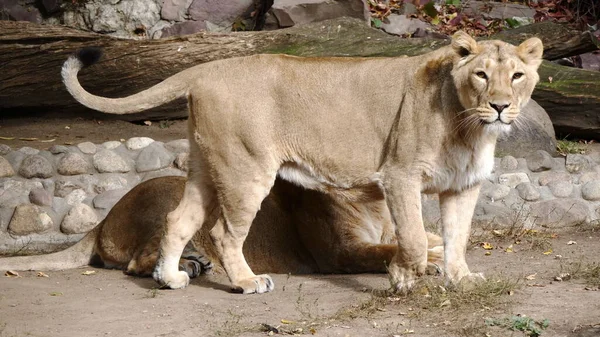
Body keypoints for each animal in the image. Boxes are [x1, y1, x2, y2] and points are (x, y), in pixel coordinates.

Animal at [61, 30, 544, 292]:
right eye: (481, 74)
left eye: (517, 75)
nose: (500, 106)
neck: (470, 126)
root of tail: (207, 68)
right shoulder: (400, 175)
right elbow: (410, 238)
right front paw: (405, 280)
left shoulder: (464, 185)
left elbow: (458, 238)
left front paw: (460, 278)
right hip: (246, 170)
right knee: (221, 232)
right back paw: (246, 282)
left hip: (206, 168)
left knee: (180, 219)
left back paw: (173, 278)